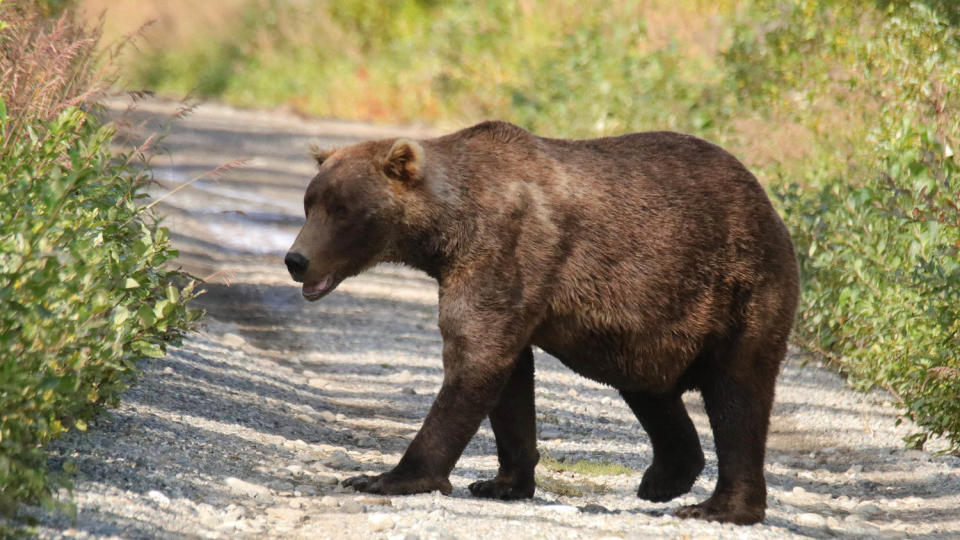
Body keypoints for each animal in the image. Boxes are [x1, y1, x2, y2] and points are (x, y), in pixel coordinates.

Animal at [286, 121, 804, 524]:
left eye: (343, 209)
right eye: (310, 203)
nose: (296, 259)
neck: (448, 231)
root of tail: (769, 205)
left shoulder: (504, 251)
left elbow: (474, 358)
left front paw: (386, 476)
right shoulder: (501, 281)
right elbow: (509, 379)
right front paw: (502, 482)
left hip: (738, 290)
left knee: (738, 395)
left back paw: (719, 507)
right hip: (650, 327)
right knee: (650, 390)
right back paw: (664, 479)